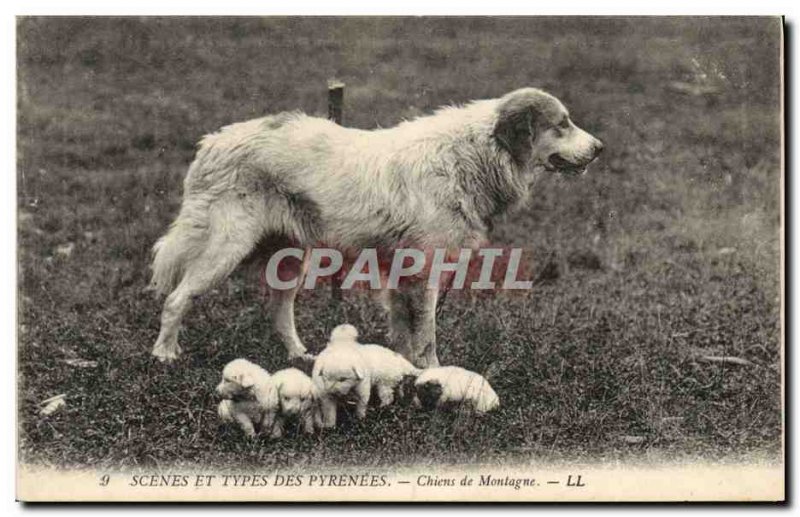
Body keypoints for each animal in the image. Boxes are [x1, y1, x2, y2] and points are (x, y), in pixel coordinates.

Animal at [148, 87, 600, 366]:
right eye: (561, 124)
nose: (599, 148)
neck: (470, 156)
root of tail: (213, 141)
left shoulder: (400, 274)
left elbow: (403, 332)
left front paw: (404, 372)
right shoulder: (423, 274)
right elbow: (425, 335)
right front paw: (431, 374)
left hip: (289, 257)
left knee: (279, 310)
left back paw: (300, 355)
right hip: (225, 248)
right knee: (177, 298)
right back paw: (164, 353)